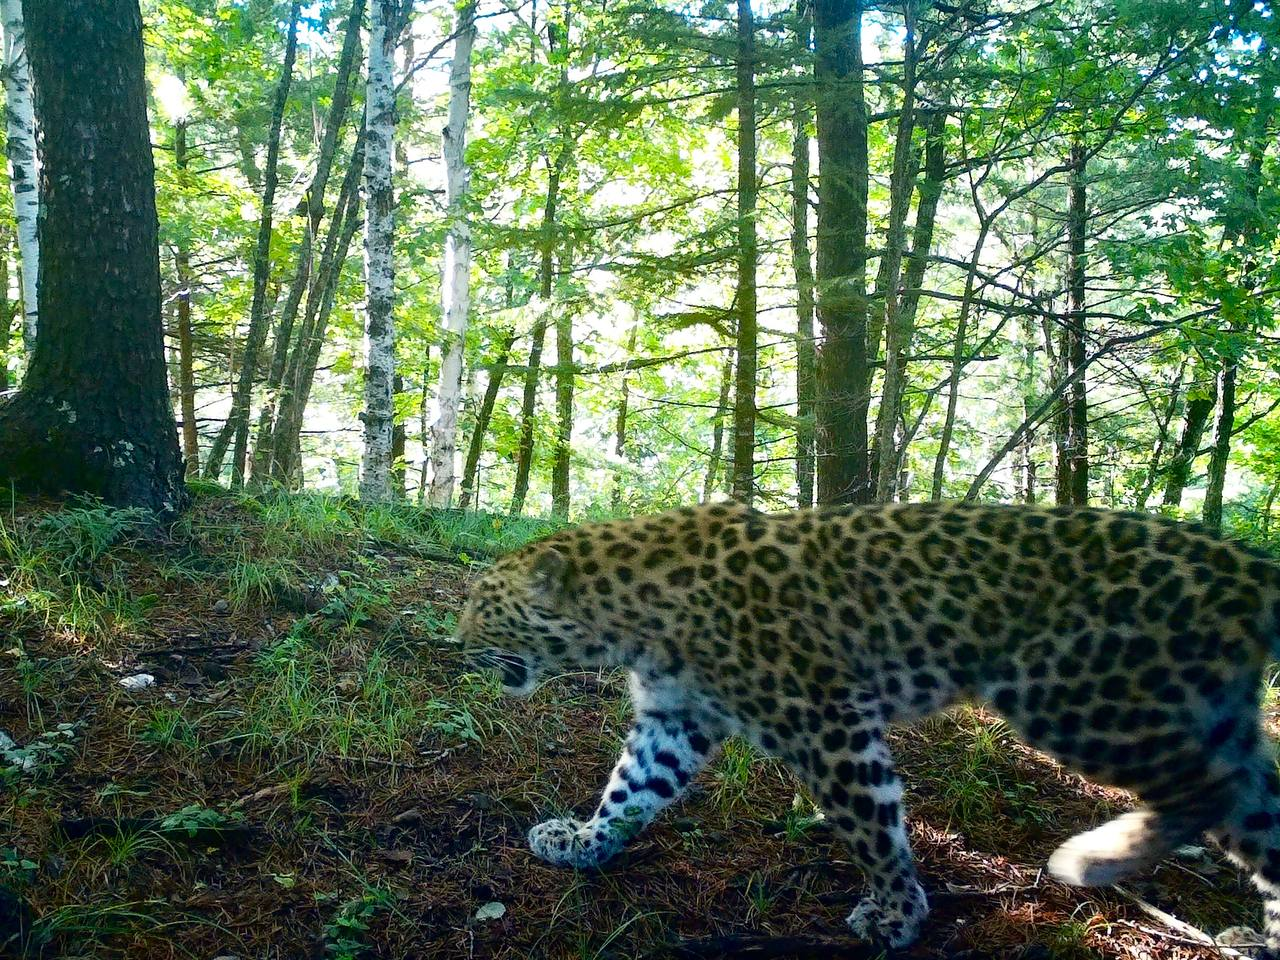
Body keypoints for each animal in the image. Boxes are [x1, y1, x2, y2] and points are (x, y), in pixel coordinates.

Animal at [455, 499, 1280, 957]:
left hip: (1082, 696)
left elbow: (871, 825)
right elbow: (631, 791)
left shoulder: (825, 720)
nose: (456, 639)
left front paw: (896, 913)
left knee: (1208, 787)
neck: (625, 613)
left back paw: (1100, 857)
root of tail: (1242, 563)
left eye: (483, 604)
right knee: (1261, 811)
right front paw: (583, 842)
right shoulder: (676, 717)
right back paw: (1260, 941)